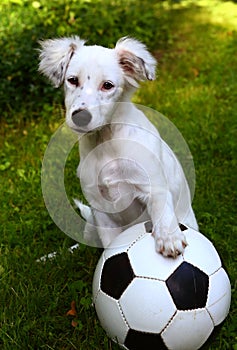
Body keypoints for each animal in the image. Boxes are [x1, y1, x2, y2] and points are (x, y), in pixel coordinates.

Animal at [39, 36, 198, 258]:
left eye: (108, 85)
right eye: (72, 80)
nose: (80, 117)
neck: (106, 142)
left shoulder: (154, 187)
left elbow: (162, 213)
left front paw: (169, 238)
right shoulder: (101, 210)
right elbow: (110, 245)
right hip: (92, 224)